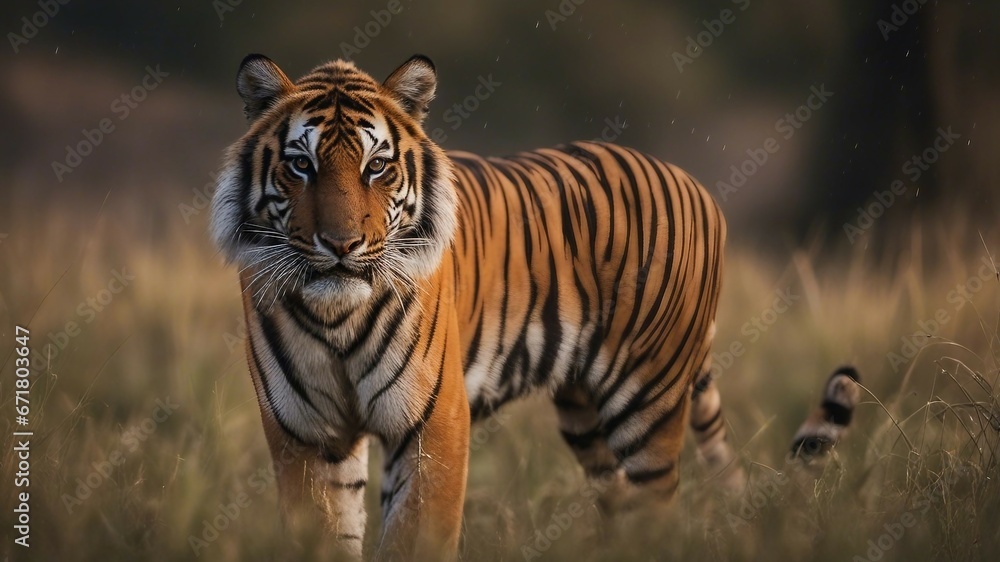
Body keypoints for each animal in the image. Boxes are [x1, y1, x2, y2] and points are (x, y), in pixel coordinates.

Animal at [209, 53, 860, 560]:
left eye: (378, 166)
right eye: (302, 164)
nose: (342, 245)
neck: (336, 317)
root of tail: (695, 183)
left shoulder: (433, 423)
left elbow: (416, 538)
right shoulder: (304, 435)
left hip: (648, 399)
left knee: (658, 508)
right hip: (584, 413)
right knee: (621, 506)